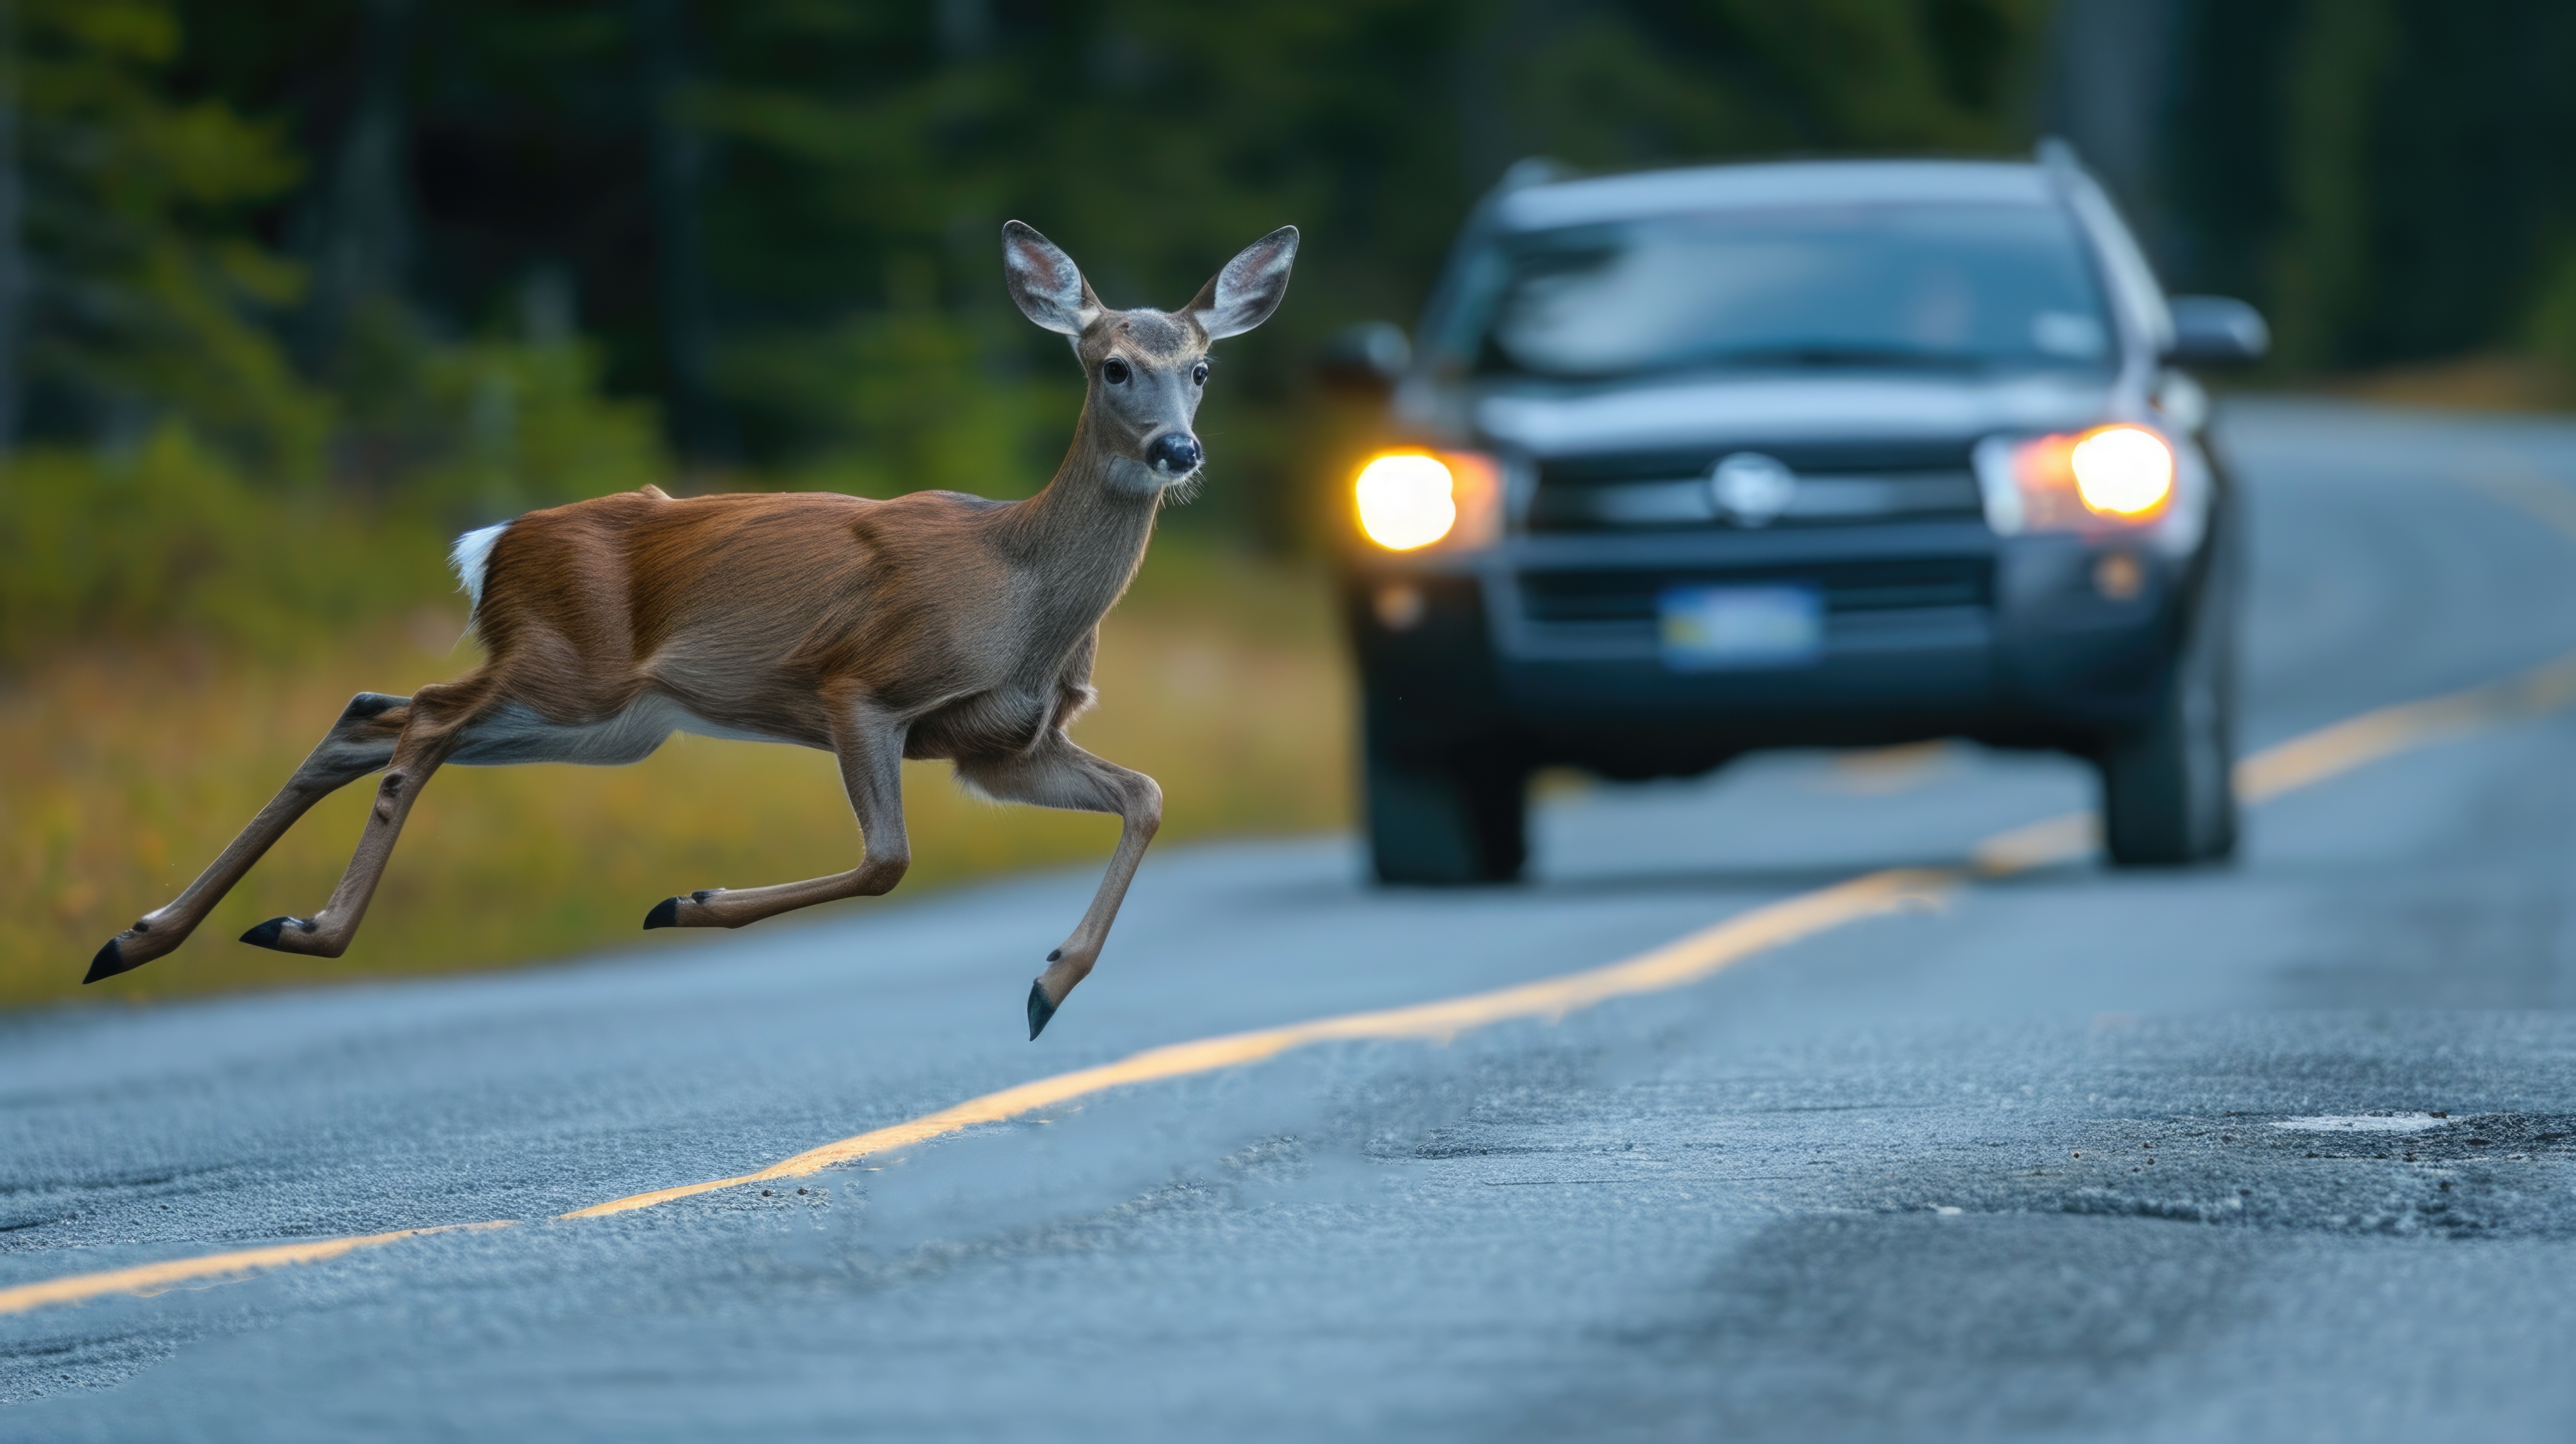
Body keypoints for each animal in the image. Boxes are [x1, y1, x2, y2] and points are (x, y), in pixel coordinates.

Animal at [88, 216, 1298, 1037]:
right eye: (1114, 367)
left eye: (1201, 368)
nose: (1179, 450)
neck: (1024, 592)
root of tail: (495, 544)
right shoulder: (861, 684)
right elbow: (887, 860)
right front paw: (686, 901)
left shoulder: (1000, 748)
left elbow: (1146, 795)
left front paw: (1048, 984)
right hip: (566, 670)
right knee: (420, 719)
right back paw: (299, 930)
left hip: (602, 724)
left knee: (366, 713)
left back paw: (146, 936)